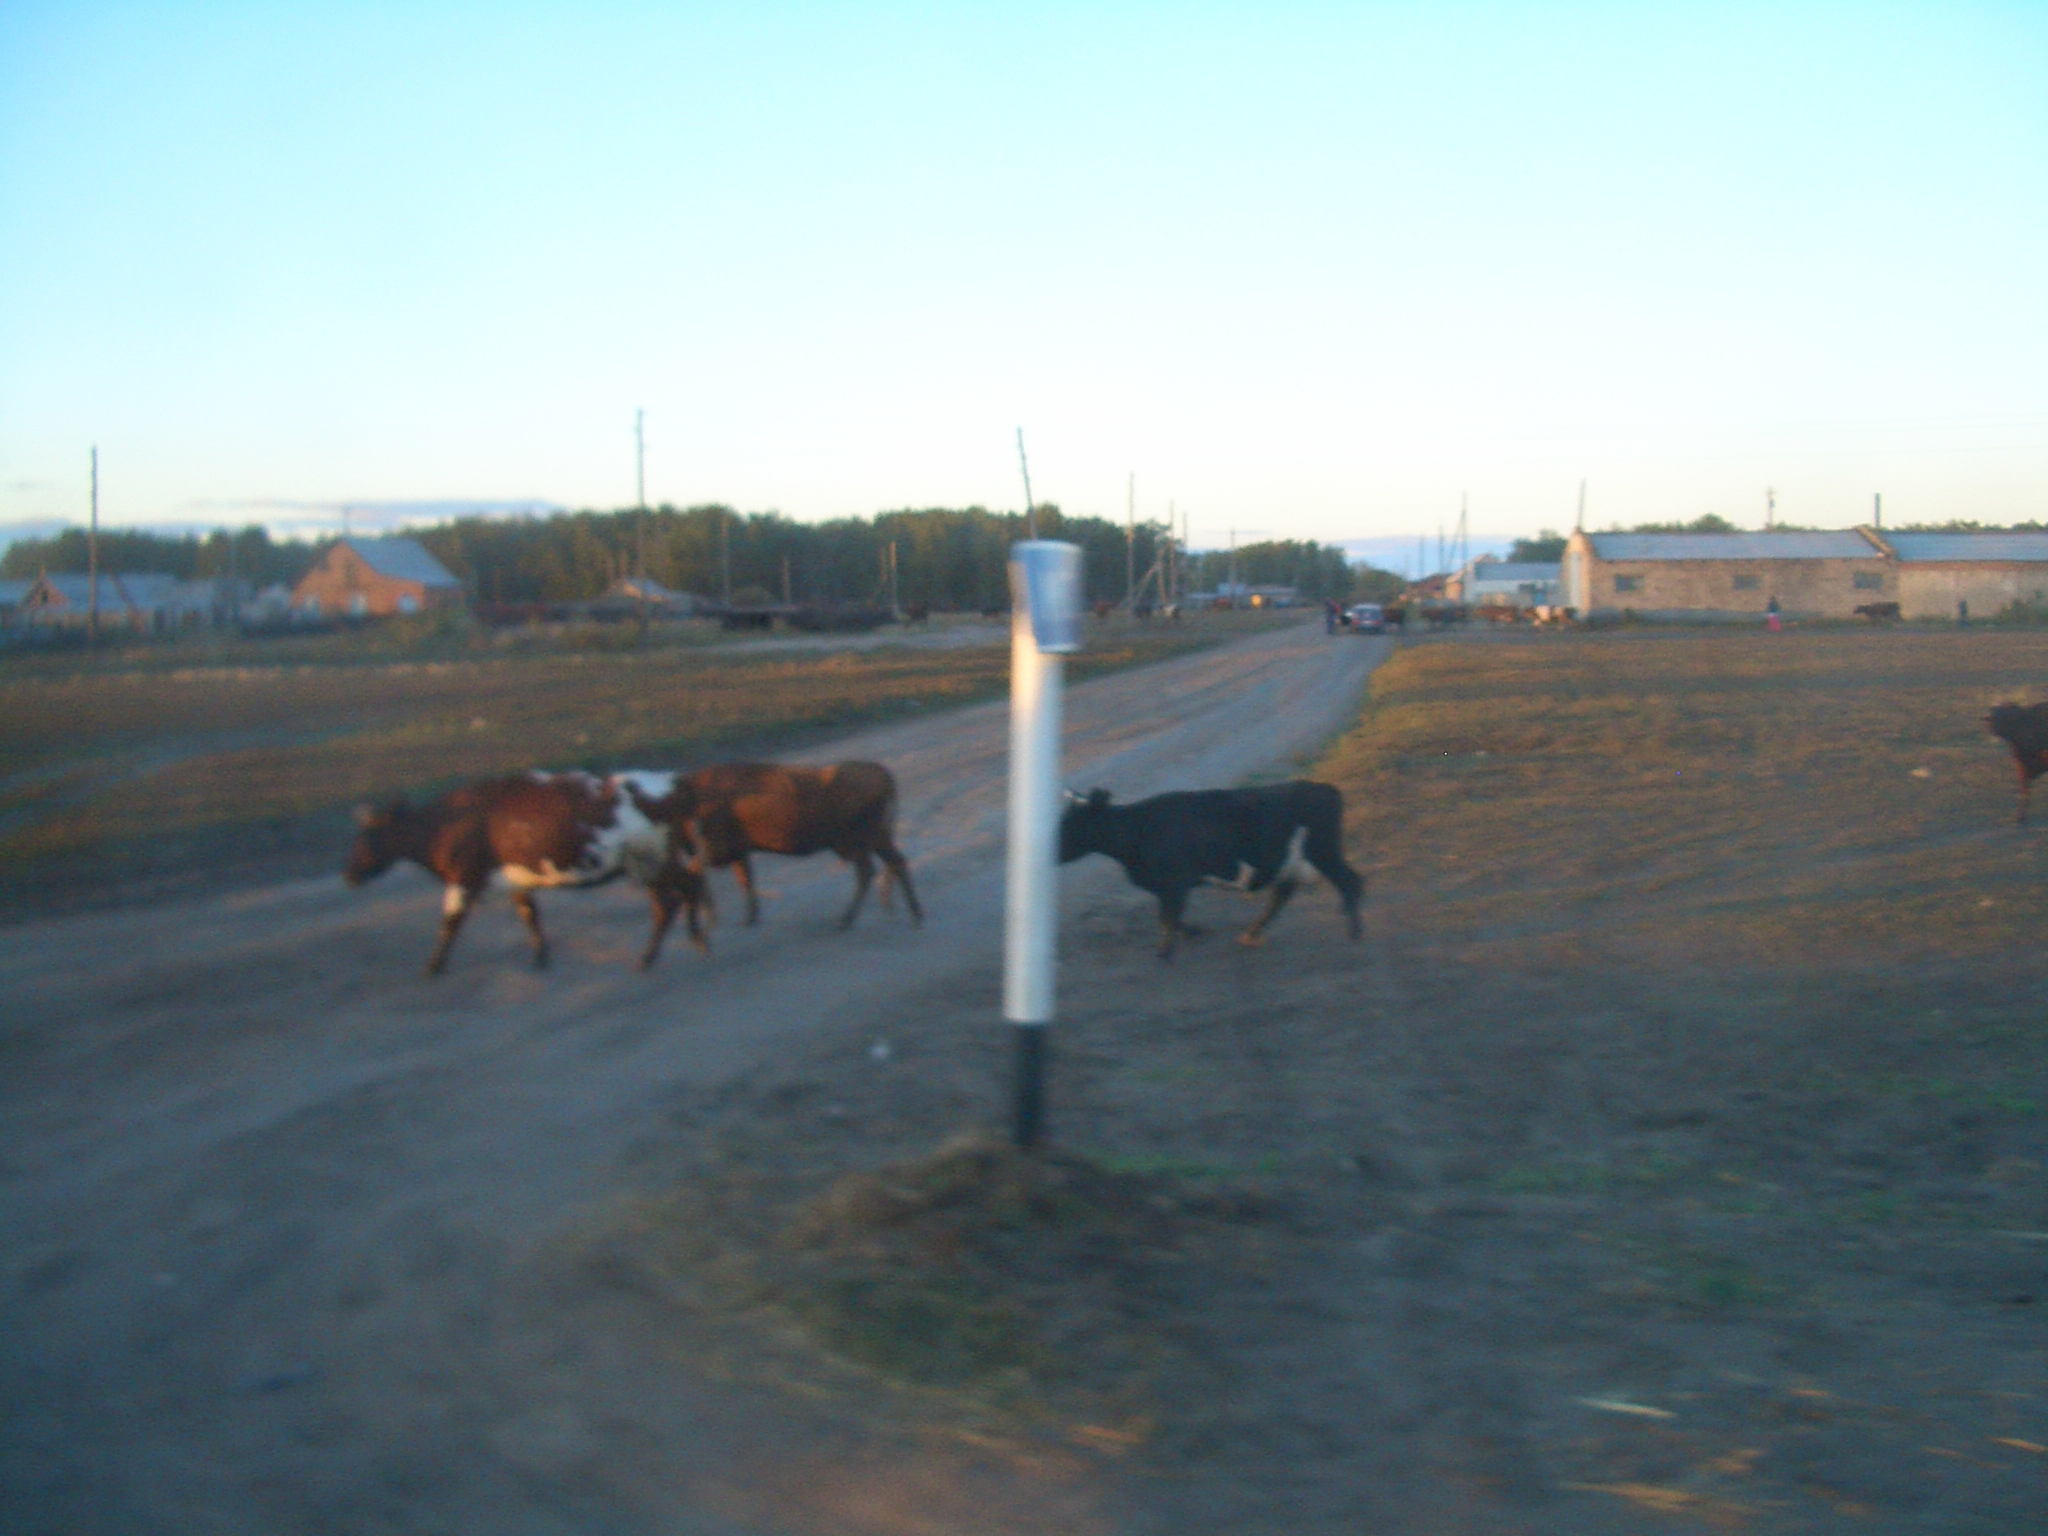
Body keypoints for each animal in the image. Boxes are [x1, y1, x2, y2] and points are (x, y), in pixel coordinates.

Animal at [342, 774, 704, 978]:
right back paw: (663, 951)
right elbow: (529, 914)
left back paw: (686, 943)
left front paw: (433, 966)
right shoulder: (515, 879)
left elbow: (449, 924)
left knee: (685, 889)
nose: (349, 875)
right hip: (644, 864)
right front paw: (541, 955)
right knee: (670, 901)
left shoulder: (462, 881)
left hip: (656, 858)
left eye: (365, 838)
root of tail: (675, 785)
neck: (442, 823)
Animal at [626, 761, 925, 933]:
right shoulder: (738, 851)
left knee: (868, 871)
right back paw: (914, 912)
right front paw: (749, 916)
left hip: (856, 841)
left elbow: (699, 876)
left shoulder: (714, 849)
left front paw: (710, 916)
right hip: (877, 838)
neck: (686, 799)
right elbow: (745, 879)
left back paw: (846, 919)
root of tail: (884, 776)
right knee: (896, 862)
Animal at [1064, 786, 1368, 958]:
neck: (1137, 827)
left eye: (1071, 823)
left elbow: (1167, 917)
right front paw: (1191, 934)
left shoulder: (1174, 883)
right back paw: (1250, 934)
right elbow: (1167, 917)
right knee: (1281, 897)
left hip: (1324, 852)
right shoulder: (1166, 887)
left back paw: (1354, 932)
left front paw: (1165, 952)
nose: (1055, 851)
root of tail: (1325, 789)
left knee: (1350, 881)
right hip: (1291, 864)